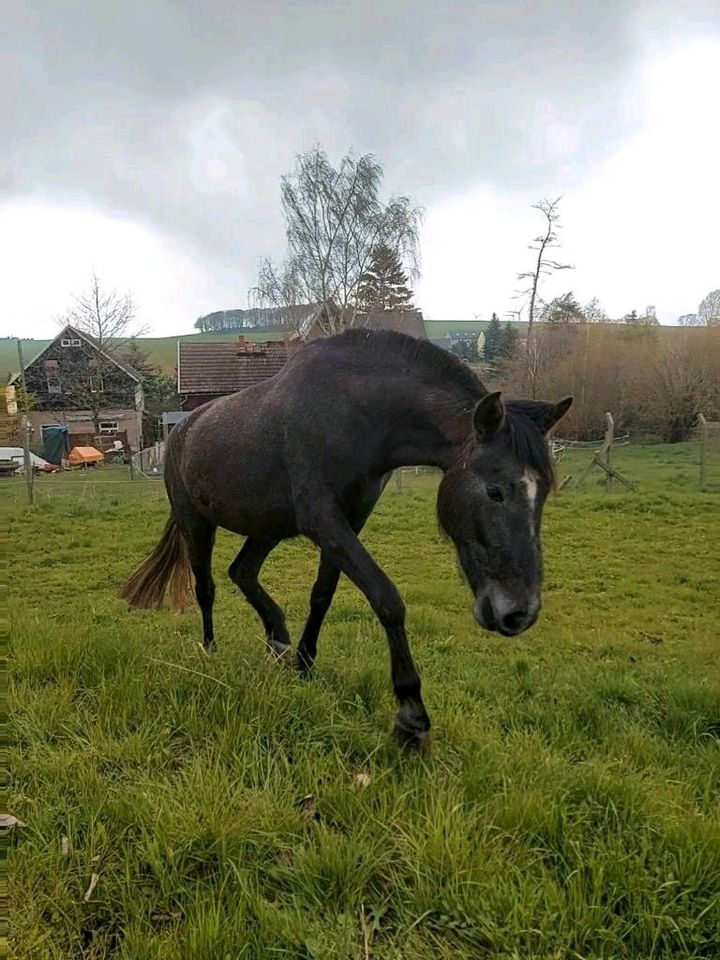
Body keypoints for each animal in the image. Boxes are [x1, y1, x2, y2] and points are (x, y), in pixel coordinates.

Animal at [125, 330, 572, 752]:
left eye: (544, 493)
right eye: (495, 491)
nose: (519, 613)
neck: (355, 416)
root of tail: (182, 431)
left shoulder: (348, 522)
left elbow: (322, 594)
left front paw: (304, 664)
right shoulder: (324, 520)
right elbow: (386, 598)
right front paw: (411, 716)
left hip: (268, 527)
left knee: (243, 572)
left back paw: (278, 640)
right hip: (196, 523)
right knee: (207, 587)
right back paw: (210, 650)